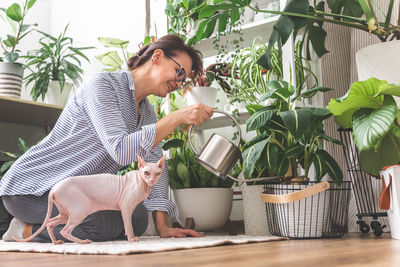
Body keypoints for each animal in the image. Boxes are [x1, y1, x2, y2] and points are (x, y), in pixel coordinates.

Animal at [13, 155, 165, 245]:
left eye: (158, 173)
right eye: (146, 173)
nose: (152, 181)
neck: (143, 184)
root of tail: (54, 189)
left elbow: (128, 224)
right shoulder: (126, 206)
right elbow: (128, 224)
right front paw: (132, 239)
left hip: (66, 213)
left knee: (50, 223)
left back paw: (56, 242)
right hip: (81, 209)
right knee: (65, 230)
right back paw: (82, 242)